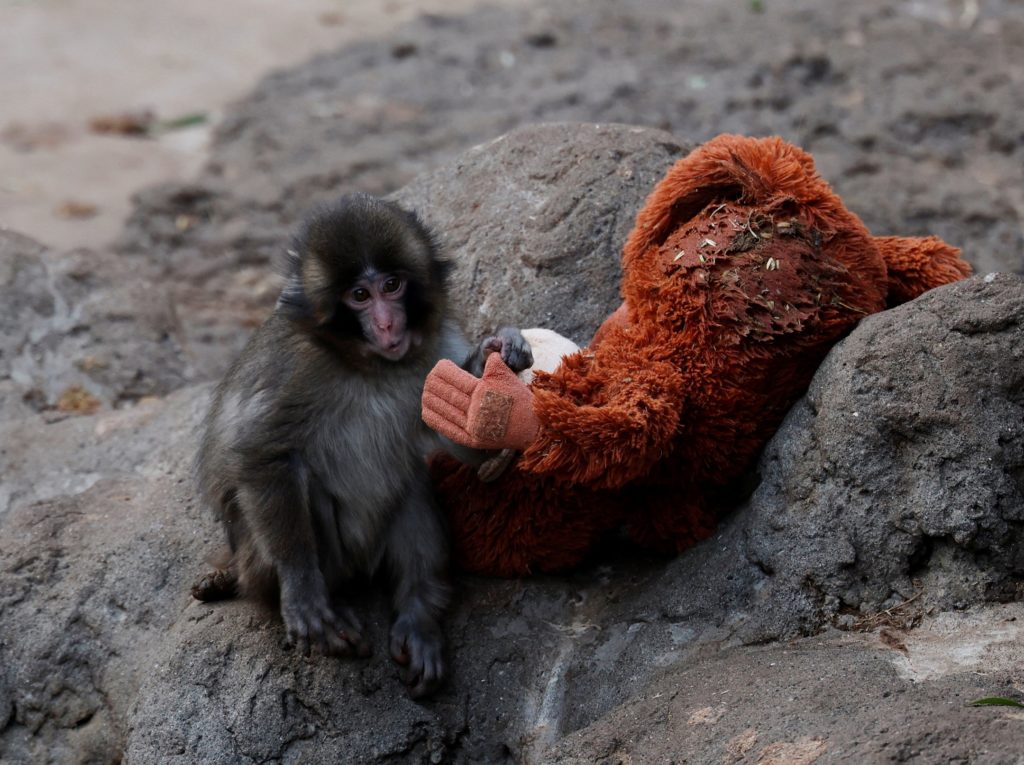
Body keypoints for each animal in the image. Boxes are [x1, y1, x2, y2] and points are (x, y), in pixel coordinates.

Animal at [192, 193, 532, 697]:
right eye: (359, 296)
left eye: (391, 285)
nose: (388, 324)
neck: (367, 365)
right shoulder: (296, 368)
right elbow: (263, 454)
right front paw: (302, 589)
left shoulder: (435, 351)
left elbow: (459, 439)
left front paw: (500, 347)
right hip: (272, 559)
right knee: (303, 481)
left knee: (411, 486)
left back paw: (418, 611)